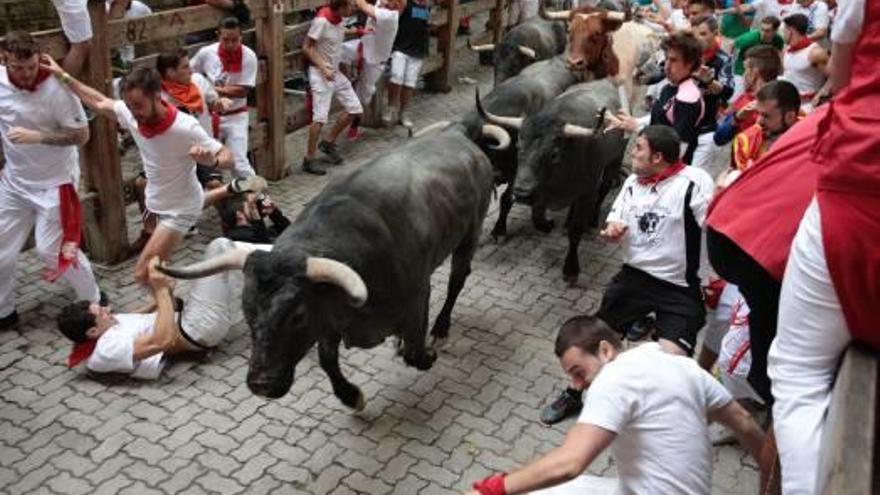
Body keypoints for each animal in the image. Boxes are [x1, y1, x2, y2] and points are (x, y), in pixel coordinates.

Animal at [158, 129, 496, 410]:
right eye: (247, 311)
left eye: (297, 316)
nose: (260, 384)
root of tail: (462, 139)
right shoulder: (328, 316)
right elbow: (327, 360)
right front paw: (351, 396)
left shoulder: (416, 295)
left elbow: (415, 351)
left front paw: (426, 354)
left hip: (469, 234)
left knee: (457, 280)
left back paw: (440, 330)